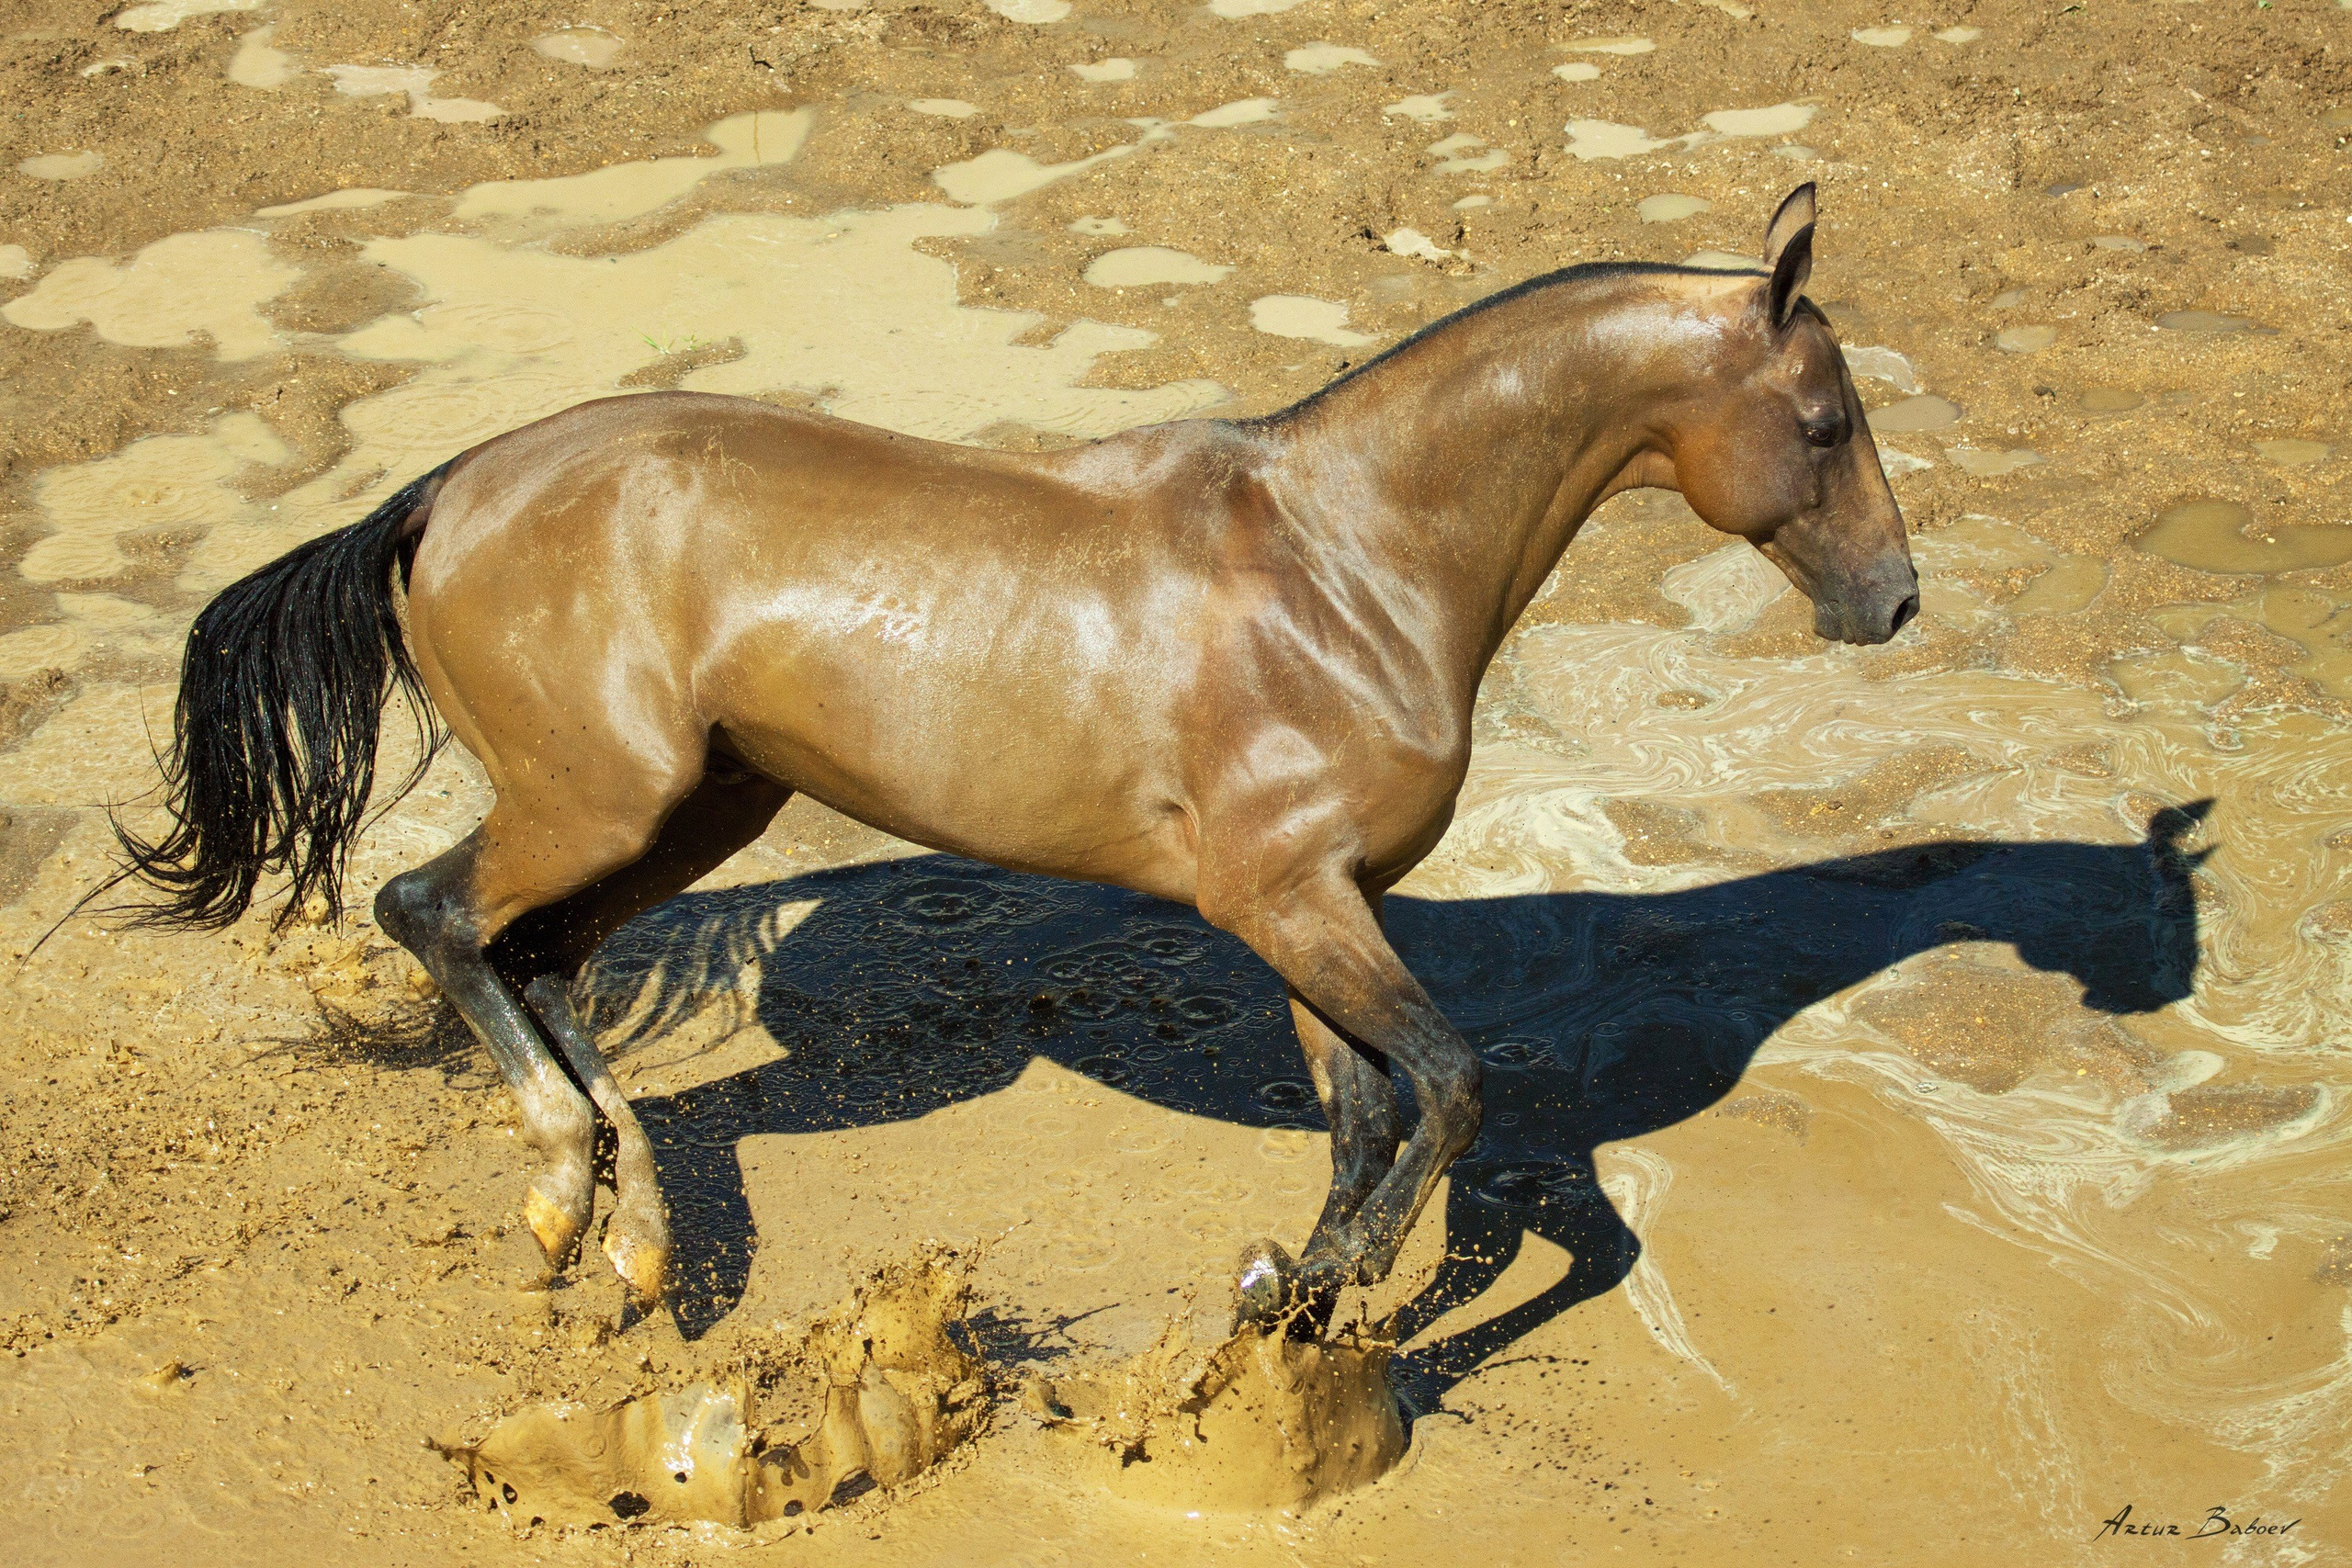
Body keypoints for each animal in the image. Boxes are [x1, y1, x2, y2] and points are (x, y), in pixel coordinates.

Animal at [117, 184, 1916, 1333]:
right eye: (1827, 424)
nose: (1895, 600)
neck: (1349, 560)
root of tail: (446, 490)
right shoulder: (1289, 899)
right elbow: (1453, 1087)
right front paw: (1329, 1297)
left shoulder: (1316, 904)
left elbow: (1365, 1112)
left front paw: (1292, 1301)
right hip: (597, 799)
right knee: (433, 916)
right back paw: (569, 1200)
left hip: (704, 804)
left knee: (538, 960)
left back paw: (630, 1247)